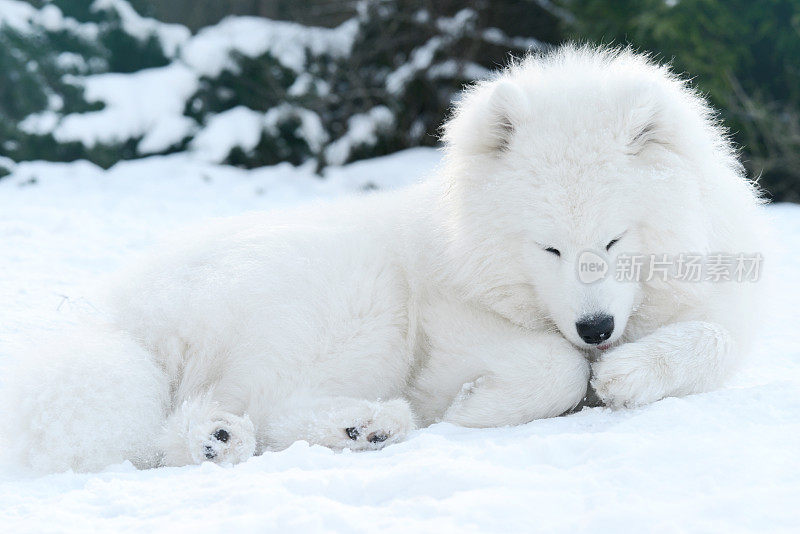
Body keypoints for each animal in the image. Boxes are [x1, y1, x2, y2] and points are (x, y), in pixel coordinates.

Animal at [7, 46, 768, 474]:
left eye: (613, 241)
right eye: (548, 246)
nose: (597, 329)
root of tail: (124, 319)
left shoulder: (714, 304)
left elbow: (714, 340)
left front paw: (632, 373)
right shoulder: (449, 321)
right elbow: (550, 367)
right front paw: (480, 407)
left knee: (203, 422)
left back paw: (256, 438)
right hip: (354, 302)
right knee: (265, 404)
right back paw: (347, 427)